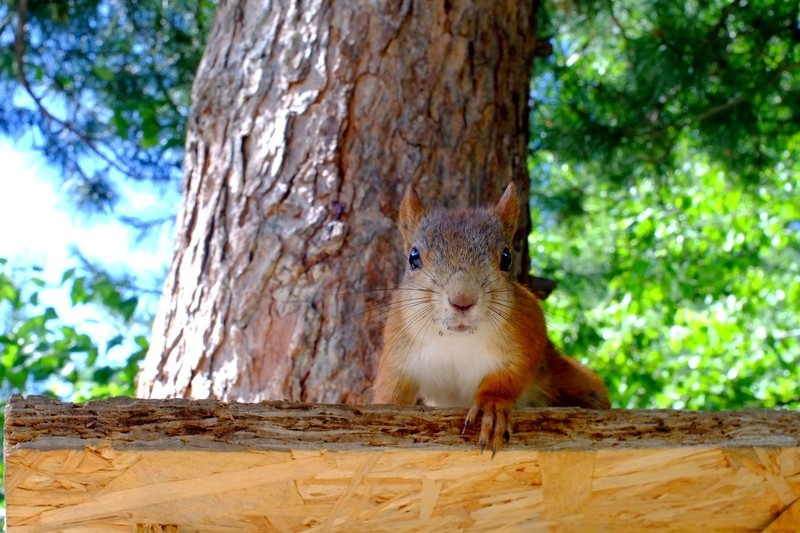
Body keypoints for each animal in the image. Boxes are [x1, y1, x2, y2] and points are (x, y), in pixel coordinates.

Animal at [372, 183, 608, 454]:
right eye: (413, 257)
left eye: (506, 258)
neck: (456, 340)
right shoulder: (397, 347)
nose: (462, 299)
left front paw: (491, 407)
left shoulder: (526, 333)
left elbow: (509, 376)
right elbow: (392, 389)